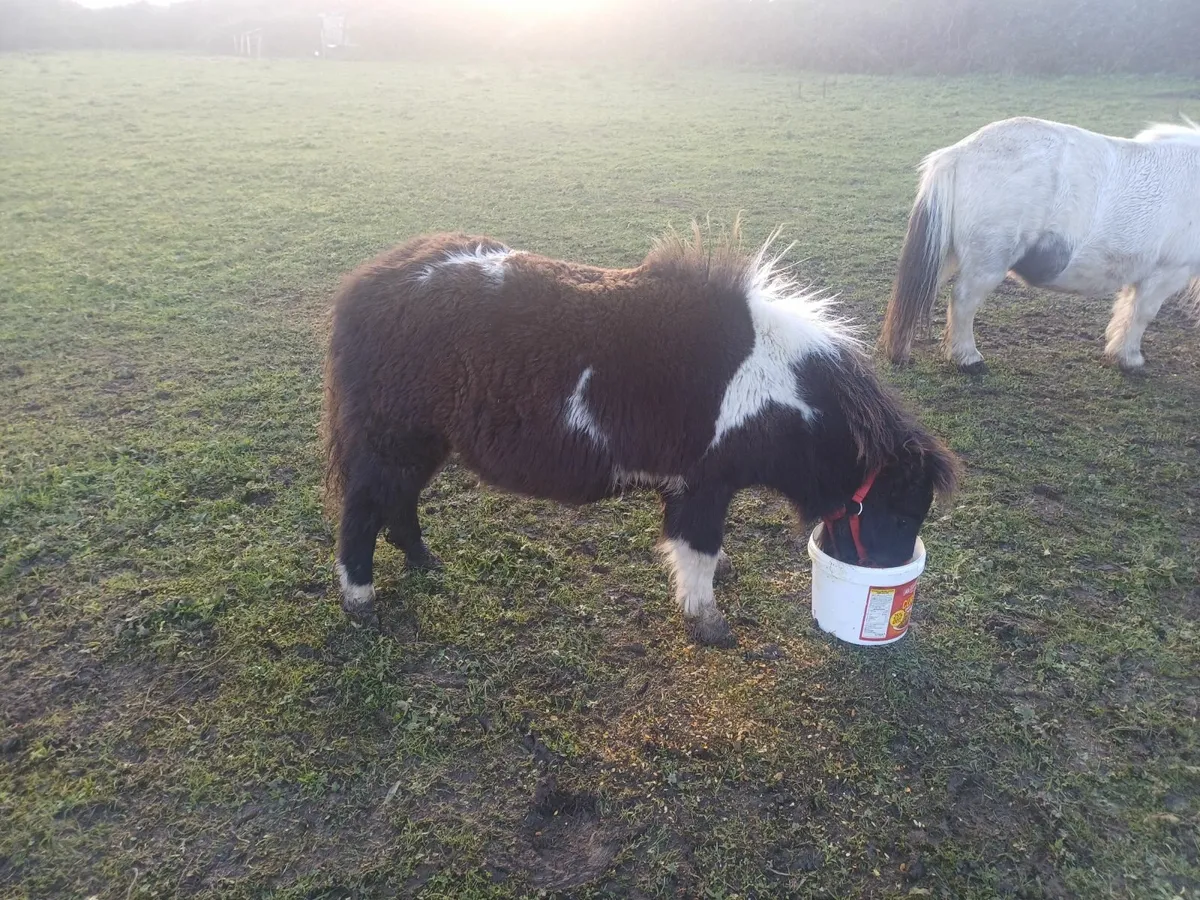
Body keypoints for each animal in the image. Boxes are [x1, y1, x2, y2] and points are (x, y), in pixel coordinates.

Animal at [322, 224, 960, 647]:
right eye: (900, 513)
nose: (888, 579)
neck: (770, 384)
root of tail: (365, 286)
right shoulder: (701, 488)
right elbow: (696, 551)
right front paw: (708, 621)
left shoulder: (692, 488)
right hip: (392, 441)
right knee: (361, 513)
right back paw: (360, 600)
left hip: (421, 444)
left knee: (397, 505)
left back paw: (423, 561)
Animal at [880, 116, 1200, 374]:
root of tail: (957, 153)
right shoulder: (1166, 274)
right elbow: (1141, 314)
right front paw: (1129, 358)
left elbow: (1126, 310)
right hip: (987, 263)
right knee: (962, 301)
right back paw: (967, 358)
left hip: (946, 253)